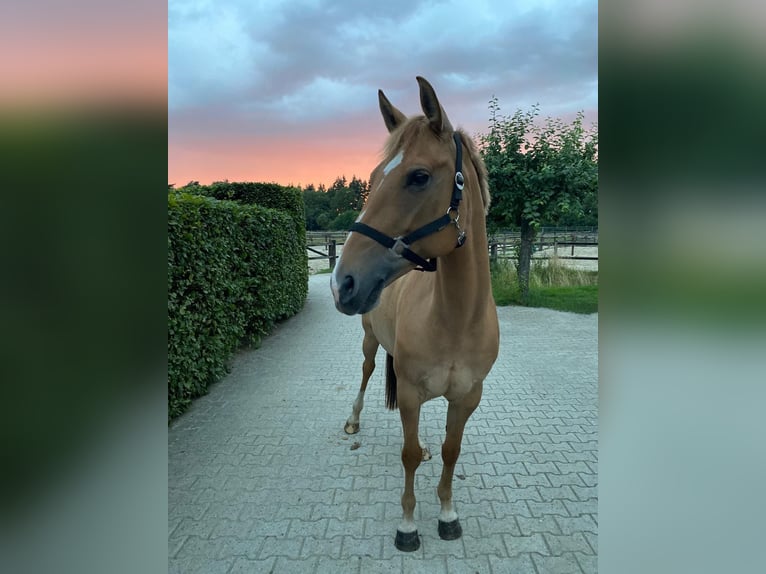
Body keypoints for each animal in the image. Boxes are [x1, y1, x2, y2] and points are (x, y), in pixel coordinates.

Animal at [332, 76, 500, 552]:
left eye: (419, 176)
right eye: (372, 179)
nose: (342, 282)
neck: (455, 321)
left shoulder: (467, 397)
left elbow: (449, 451)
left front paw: (447, 514)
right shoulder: (407, 392)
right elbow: (407, 456)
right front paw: (407, 525)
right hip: (371, 341)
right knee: (368, 371)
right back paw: (353, 420)